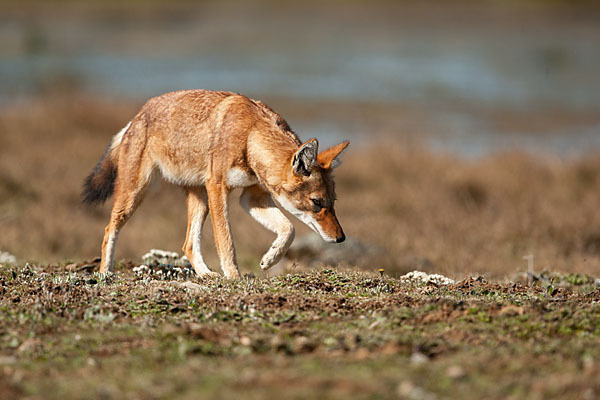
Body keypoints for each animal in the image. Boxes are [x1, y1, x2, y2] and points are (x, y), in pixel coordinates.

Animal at [82, 90, 350, 278]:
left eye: (332, 203)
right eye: (317, 203)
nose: (341, 238)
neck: (250, 137)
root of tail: (137, 116)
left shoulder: (252, 198)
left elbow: (289, 229)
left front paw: (269, 259)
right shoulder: (218, 188)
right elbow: (226, 241)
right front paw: (234, 277)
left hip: (199, 201)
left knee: (188, 245)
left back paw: (207, 275)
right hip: (135, 196)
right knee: (109, 230)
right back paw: (105, 274)